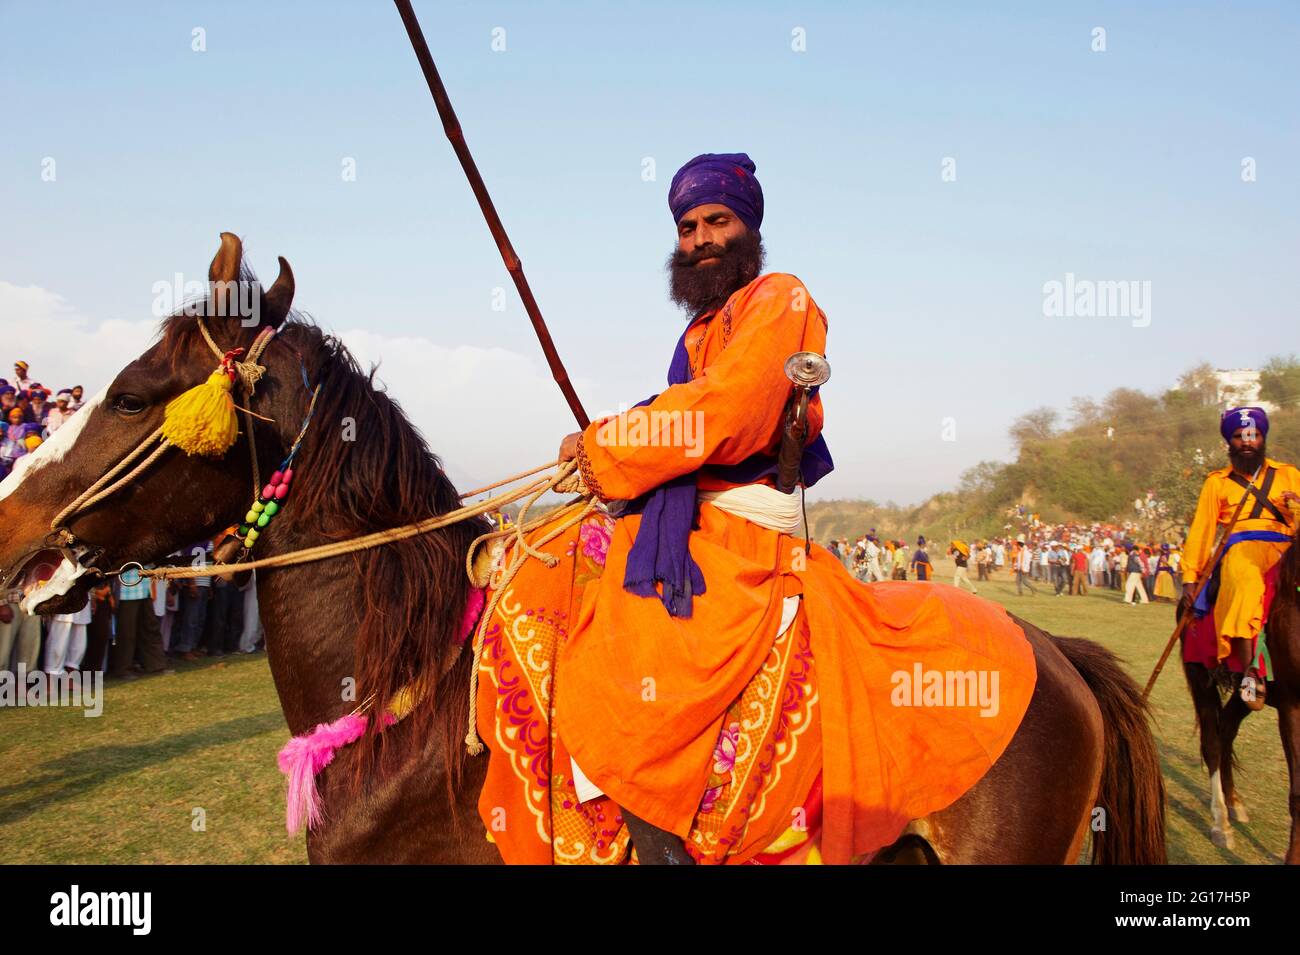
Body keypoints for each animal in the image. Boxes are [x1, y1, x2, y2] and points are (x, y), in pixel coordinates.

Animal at [1180, 537, 1300, 867]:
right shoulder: (1292, 709)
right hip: (1199, 677)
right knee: (1212, 742)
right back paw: (1221, 822)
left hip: (1245, 697)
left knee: (1227, 732)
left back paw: (1234, 803)